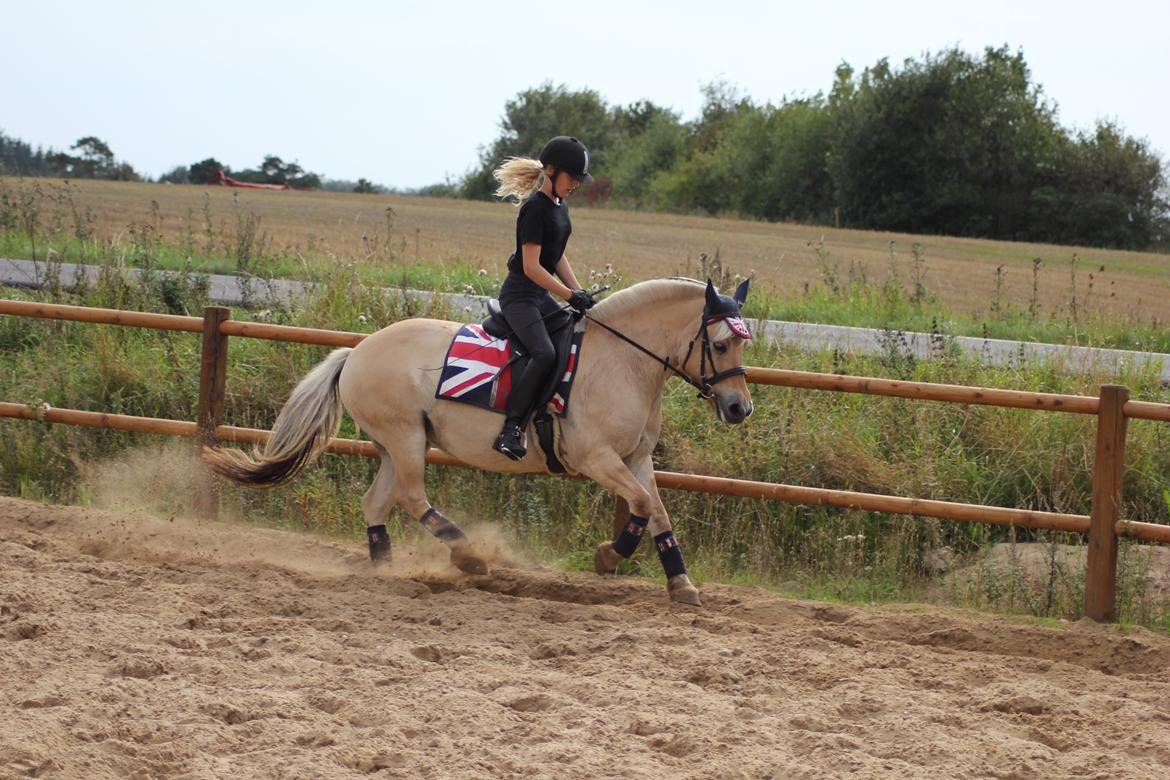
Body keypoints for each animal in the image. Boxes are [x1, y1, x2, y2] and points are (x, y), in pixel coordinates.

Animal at [204, 277, 753, 608]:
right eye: (721, 343)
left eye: (743, 342)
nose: (738, 408)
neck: (622, 360)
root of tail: (357, 351)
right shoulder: (596, 457)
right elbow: (639, 506)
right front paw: (607, 557)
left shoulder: (636, 458)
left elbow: (656, 511)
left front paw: (681, 583)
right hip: (405, 439)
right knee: (411, 497)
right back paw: (467, 555)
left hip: (395, 445)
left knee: (376, 502)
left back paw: (385, 571)